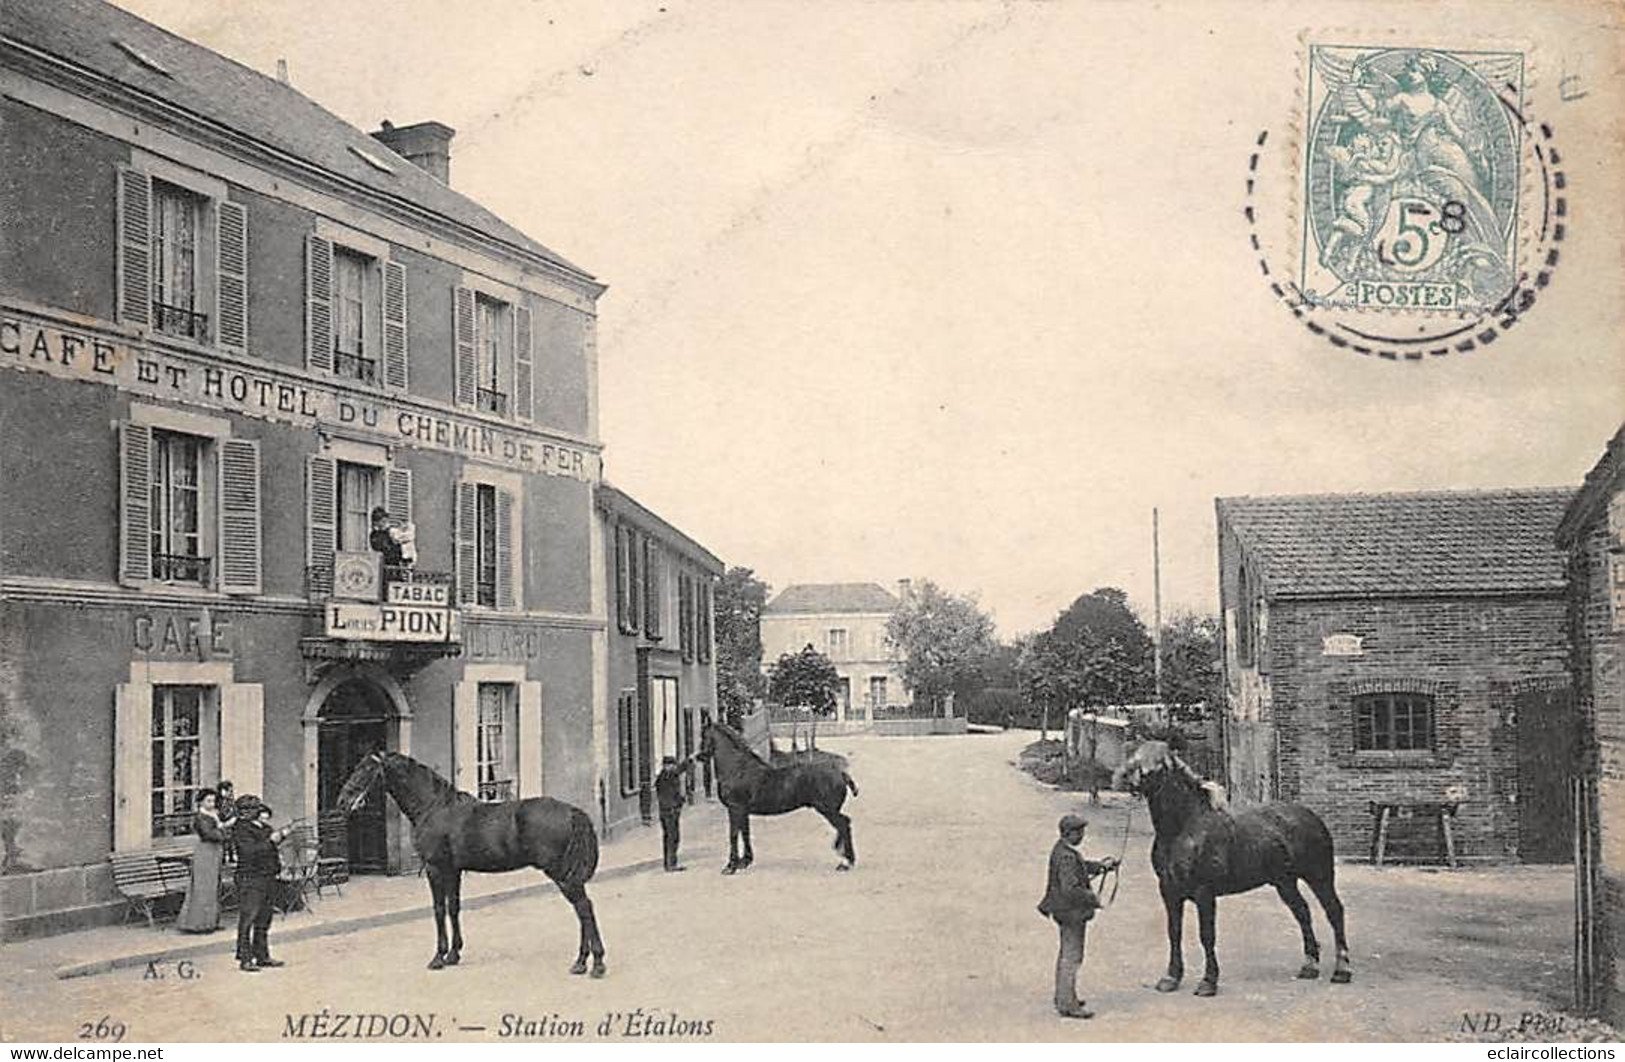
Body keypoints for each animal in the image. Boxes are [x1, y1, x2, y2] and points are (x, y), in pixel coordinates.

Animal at [333, 753, 607, 980]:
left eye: (366, 770)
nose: (342, 801)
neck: (434, 807)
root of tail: (572, 811)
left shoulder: (435, 869)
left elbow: (438, 910)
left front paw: (438, 957)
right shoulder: (453, 871)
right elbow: (454, 908)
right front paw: (454, 954)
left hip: (562, 875)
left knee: (584, 908)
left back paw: (596, 964)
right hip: (568, 875)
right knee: (583, 910)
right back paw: (582, 963)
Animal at [692, 724, 858, 876]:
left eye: (703, 736)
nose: (695, 757)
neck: (738, 769)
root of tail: (841, 773)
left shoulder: (735, 809)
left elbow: (733, 835)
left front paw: (730, 866)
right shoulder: (743, 811)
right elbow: (745, 833)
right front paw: (745, 862)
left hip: (827, 810)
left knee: (843, 825)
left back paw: (846, 862)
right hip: (829, 810)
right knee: (844, 824)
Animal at [1111, 740, 1352, 1000]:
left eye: (1161, 764)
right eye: (1136, 756)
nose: (1129, 779)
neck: (1182, 830)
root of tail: (1312, 817)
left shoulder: (1204, 892)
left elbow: (1206, 935)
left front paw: (1208, 982)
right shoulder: (1169, 891)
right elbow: (1174, 932)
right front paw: (1171, 978)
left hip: (1319, 876)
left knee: (1334, 911)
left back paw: (1342, 971)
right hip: (1285, 882)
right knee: (1303, 912)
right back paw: (1309, 966)